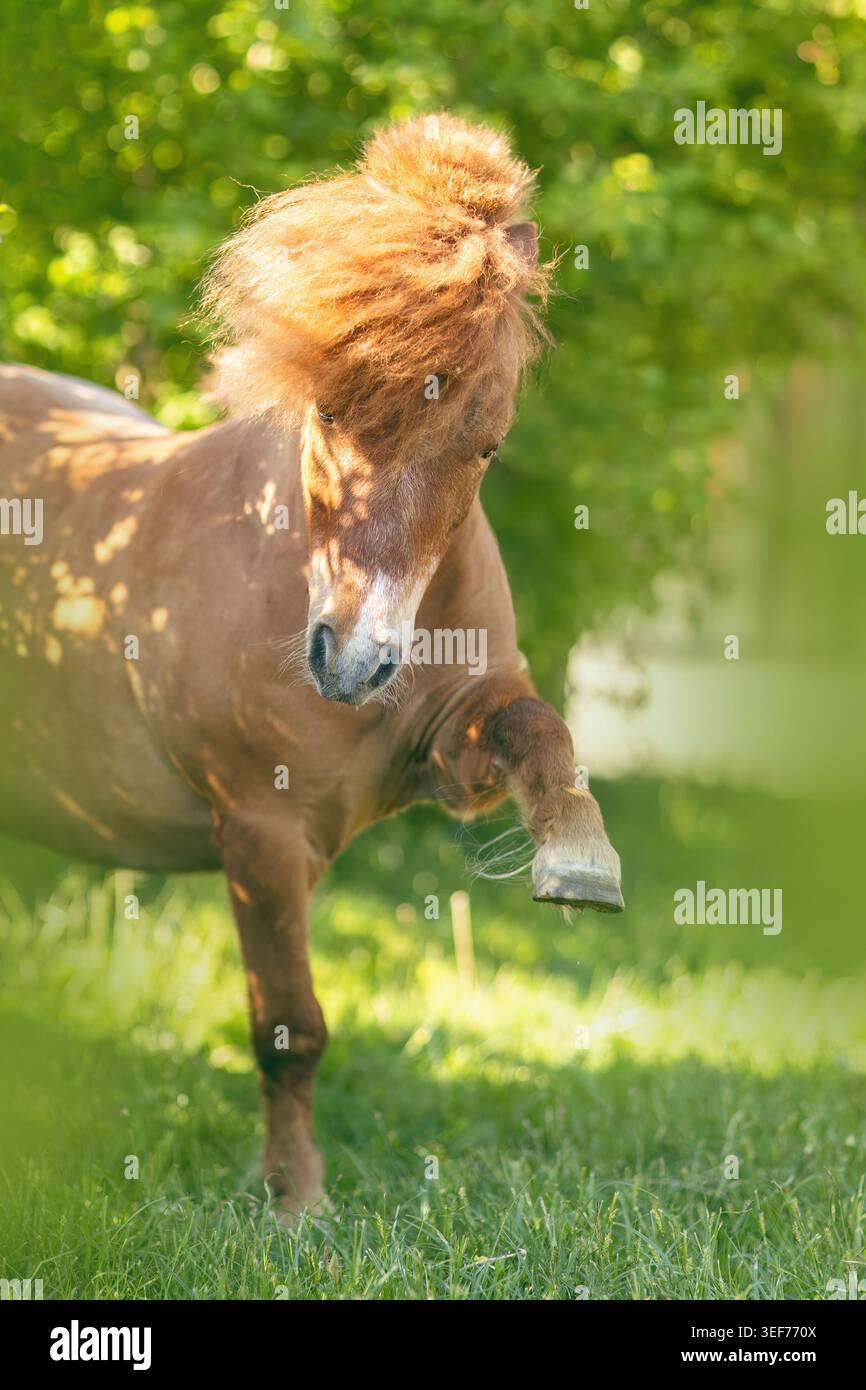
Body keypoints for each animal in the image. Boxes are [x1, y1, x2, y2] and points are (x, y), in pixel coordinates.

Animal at [0, 114, 623, 1215]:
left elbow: (536, 728)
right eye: (329, 415)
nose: (352, 663)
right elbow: (289, 1031)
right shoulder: (260, 830)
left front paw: (580, 859)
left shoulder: (450, 750)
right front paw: (296, 1205)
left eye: (485, 446)